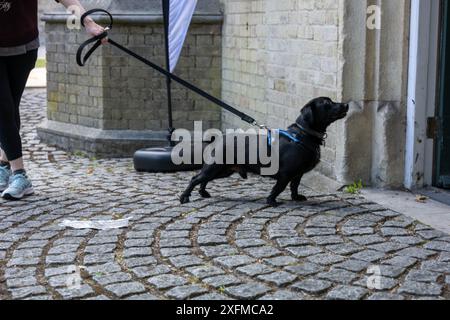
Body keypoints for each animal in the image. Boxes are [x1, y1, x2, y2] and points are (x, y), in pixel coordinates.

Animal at [179, 96, 348, 206]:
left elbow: (294, 186)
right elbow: (278, 188)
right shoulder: (286, 174)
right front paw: (271, 201)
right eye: (327, 103)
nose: (346, 104)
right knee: (195, 178)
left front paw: (295, 197)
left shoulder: (297, 174)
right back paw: (184, 197)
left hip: (223, 171)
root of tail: (218, 139)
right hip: (215, 167)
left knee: (203, 179)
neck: (303, 134)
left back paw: (203, 193)